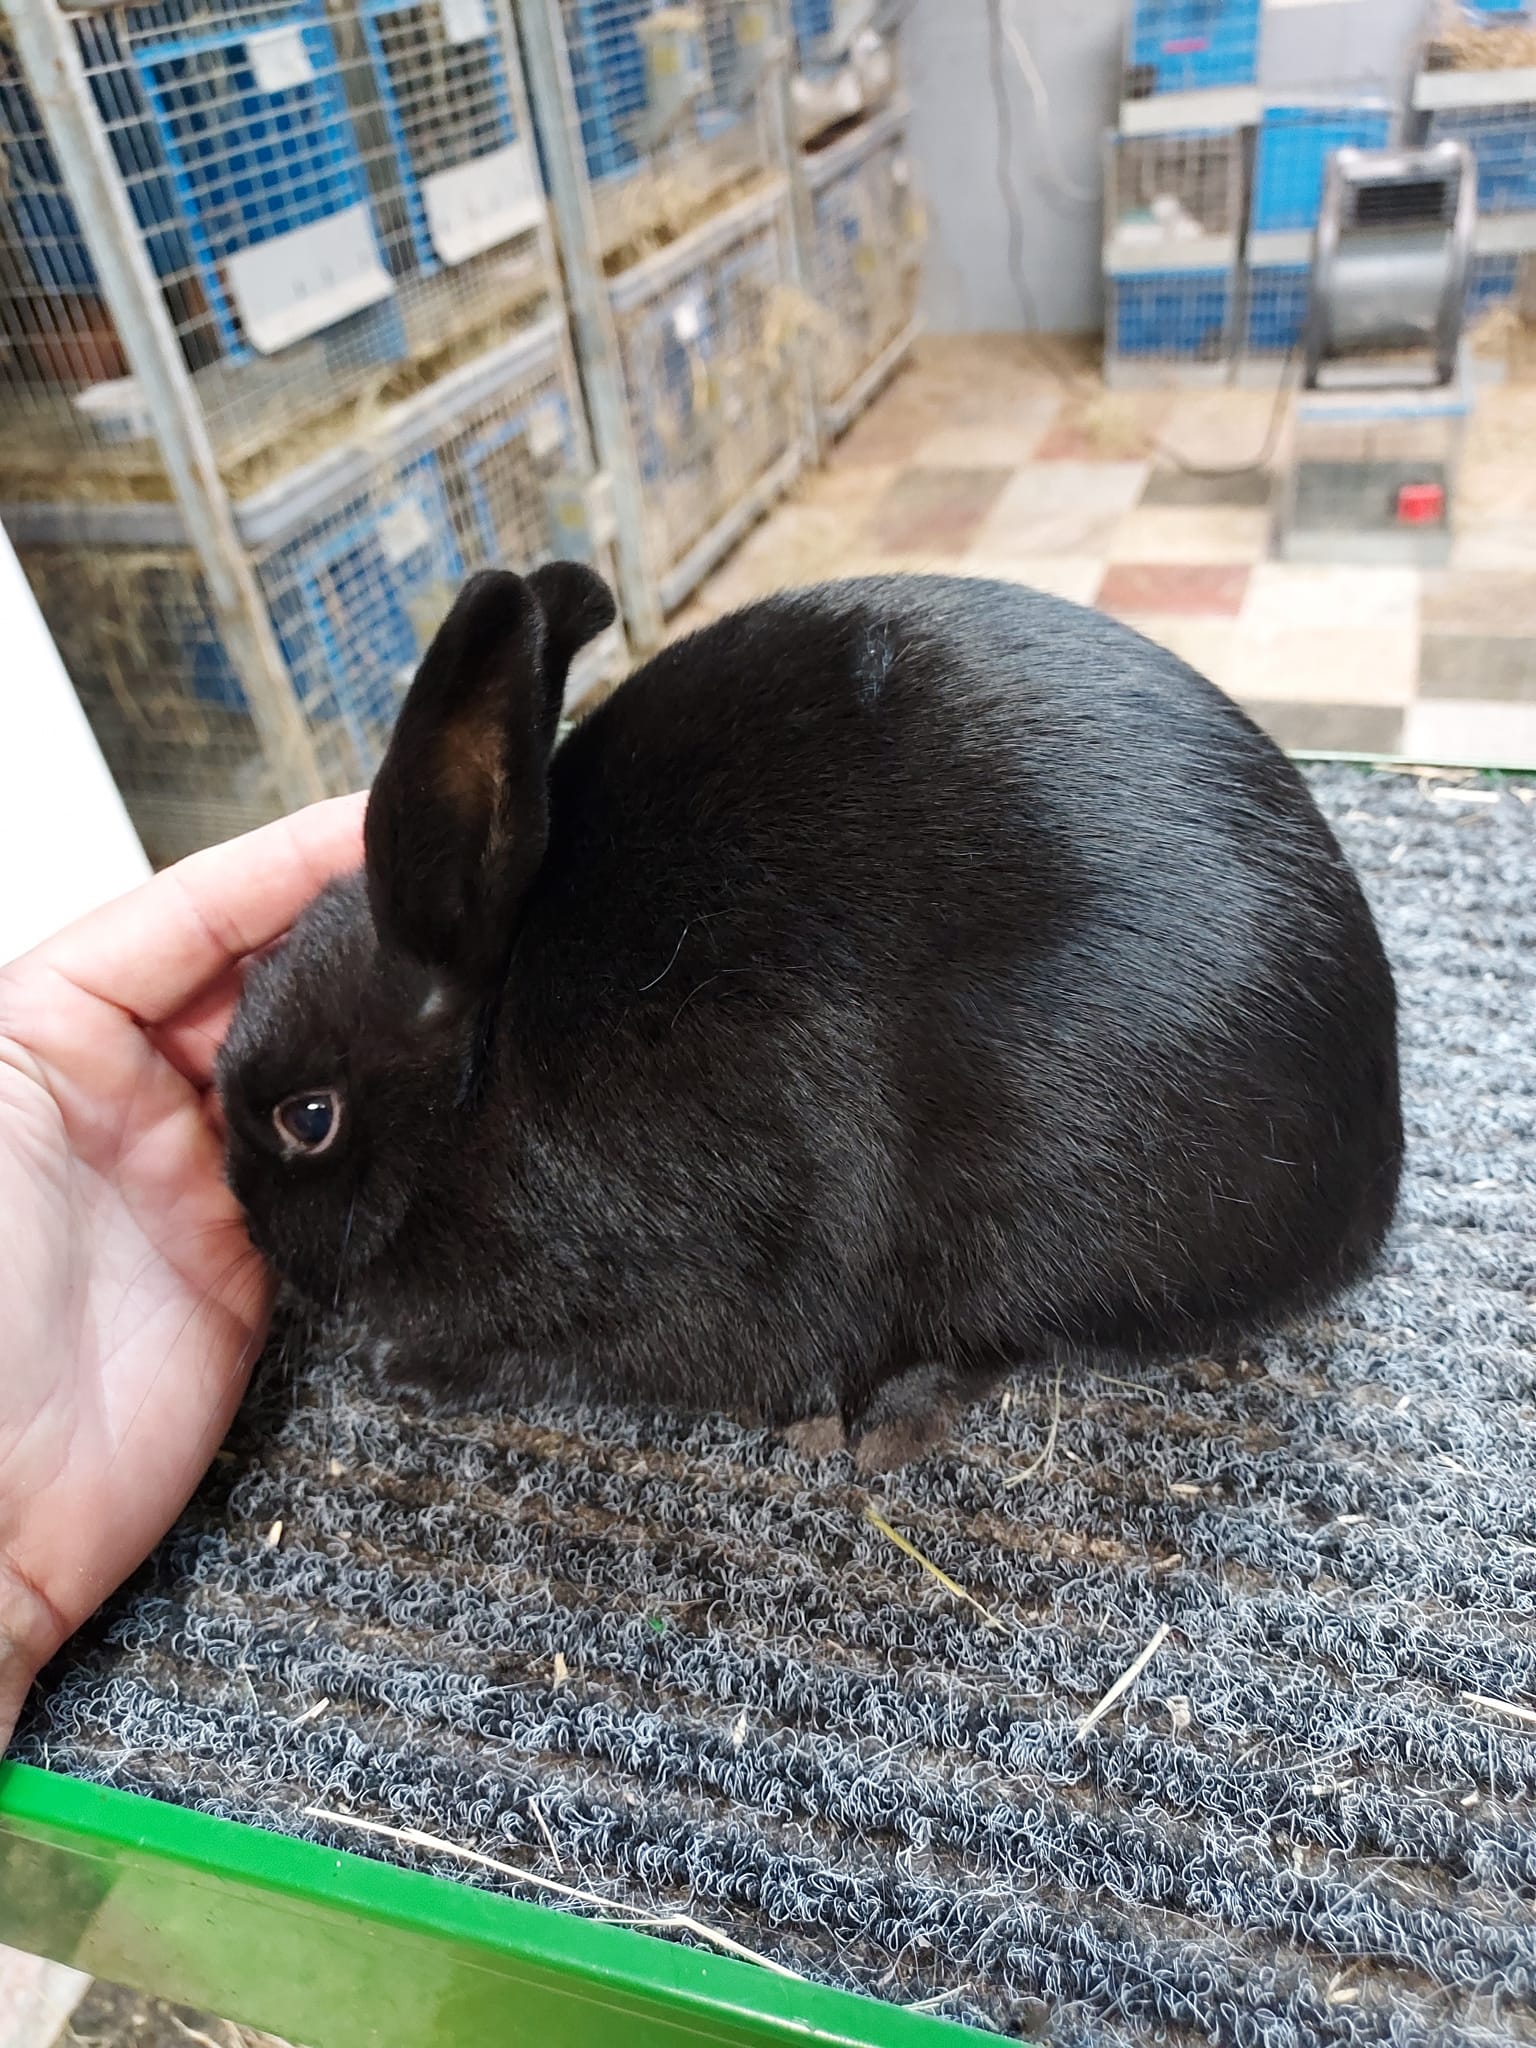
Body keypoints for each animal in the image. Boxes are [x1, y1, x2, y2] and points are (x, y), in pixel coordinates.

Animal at [218, 563, 1402, 1471]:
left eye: (307, 1117)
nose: (261, 1241)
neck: (483, 1063)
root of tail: (1370, 1171)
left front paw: (402, 1367)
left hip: (1041, 1218)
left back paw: (885, 1420)